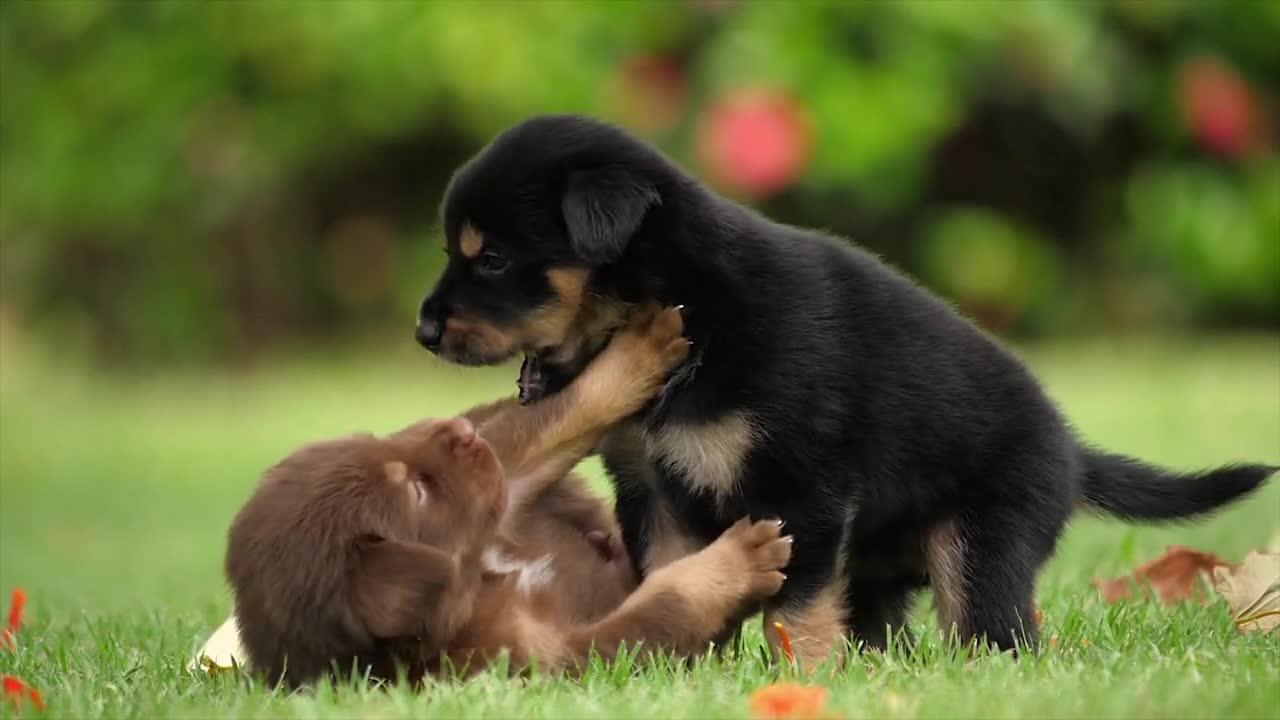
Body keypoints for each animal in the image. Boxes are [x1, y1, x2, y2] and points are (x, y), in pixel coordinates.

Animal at [225, 303, 793, 681]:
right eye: (417, 491)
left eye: (376, 442)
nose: (460, 431)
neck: (483, 579)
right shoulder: (550, 656)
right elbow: (660, 609)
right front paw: (741, 561)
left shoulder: (503, 489)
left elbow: (554, 417)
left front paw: (639, 349)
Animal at [414, 113, 1274, 661]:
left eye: (491, 258)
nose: (422, 331)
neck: (687, 300)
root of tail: (1071, 449)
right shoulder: (656, 489)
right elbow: (671, 575)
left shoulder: (802, 488)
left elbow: (794, 609)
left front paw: (802, 678)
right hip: (882, 568)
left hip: (983, 543)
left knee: (995, 632)